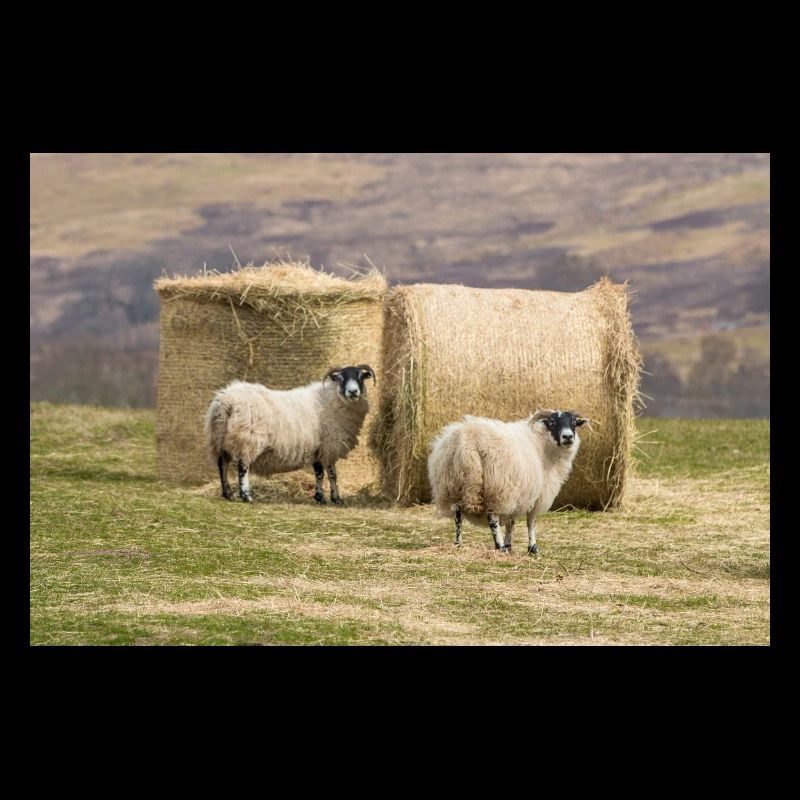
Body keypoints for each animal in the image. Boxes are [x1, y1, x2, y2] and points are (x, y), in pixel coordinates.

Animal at [204, 364, 376, 505]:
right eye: (340, 378)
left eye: (361, 377)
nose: (353, 392)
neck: (332, 399)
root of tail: (226, 400)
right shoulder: (329, 446)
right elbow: (332, 474)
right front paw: (336, 499)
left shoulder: (317, 448)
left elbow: (319, 474)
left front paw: (320, 498)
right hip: (248, 439)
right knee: (242, 466)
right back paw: (246, 496)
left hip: (220, 438)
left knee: (222, 464)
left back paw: (228, 494)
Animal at [427, 409, 587, 555]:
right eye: (552, 422)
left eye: (574, 422)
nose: (568, 437)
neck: (542, 443)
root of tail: (468, 442)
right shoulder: (535, 496)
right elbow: (531, 522)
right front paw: (532, 548)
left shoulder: (518, 494)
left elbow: (511, 521)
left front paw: (510, 545)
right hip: (496, 487)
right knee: (492, 518)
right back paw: (500, 546)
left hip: (453, 485)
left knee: (458, 515)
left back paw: (458, 544)